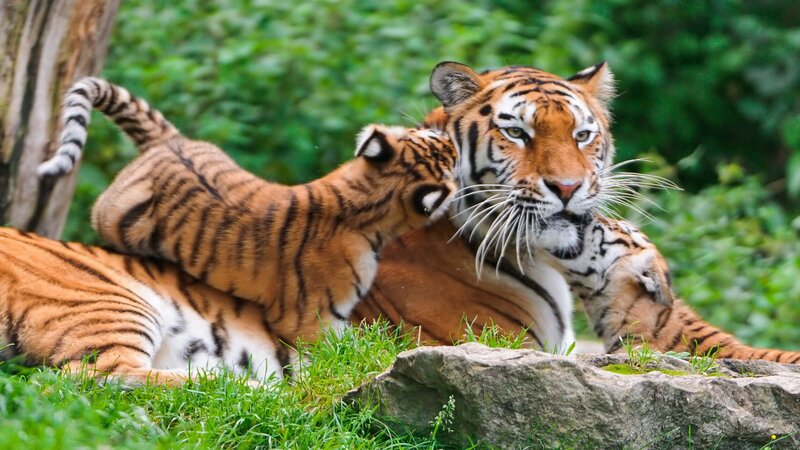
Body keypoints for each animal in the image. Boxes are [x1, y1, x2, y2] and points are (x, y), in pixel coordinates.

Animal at [38, 77, 458, 347]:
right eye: (447, 153)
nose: (447, 131)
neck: (362, 197)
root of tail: (168, 142)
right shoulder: (313, 320)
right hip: (109, 218)